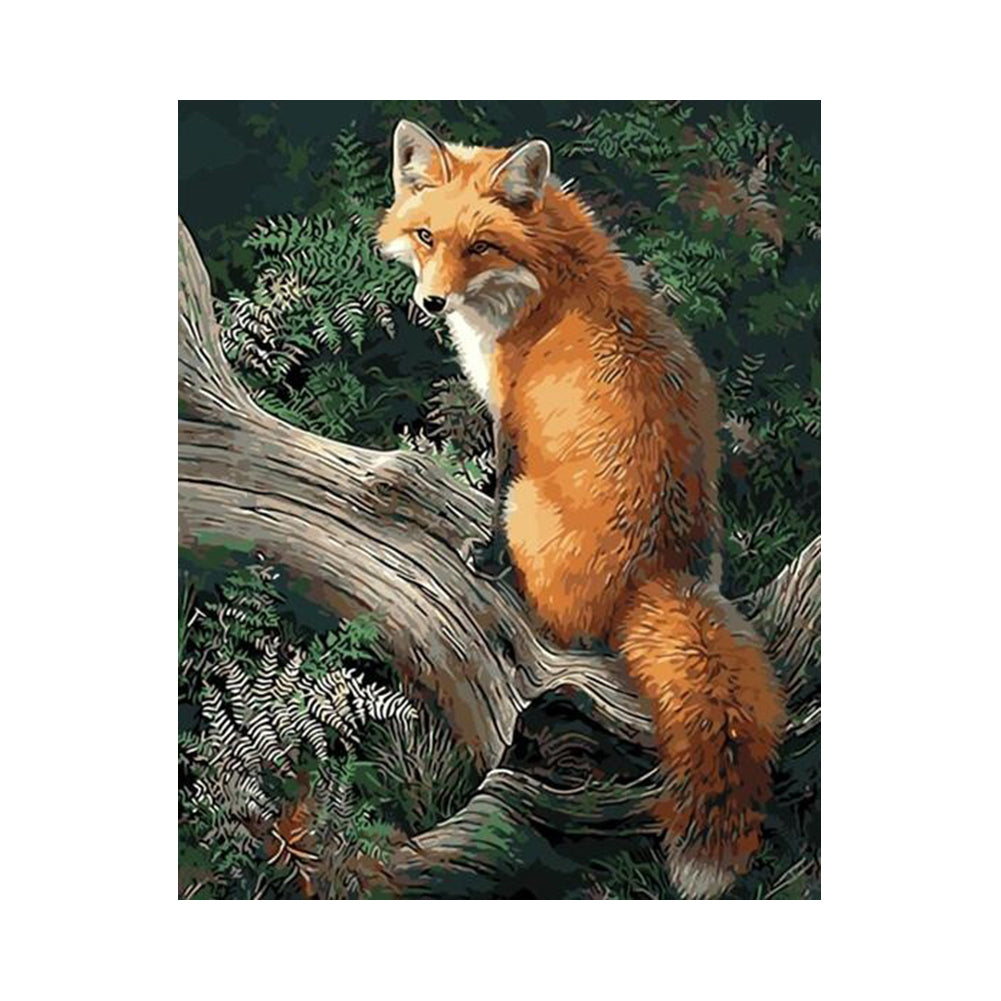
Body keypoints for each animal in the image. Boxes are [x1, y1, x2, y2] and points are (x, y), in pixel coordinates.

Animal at [377, 120, 786, 898]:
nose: (431, 304)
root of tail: (658, 576)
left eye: (480, 245)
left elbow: (494, 489)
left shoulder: (509, 416)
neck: (550, 277)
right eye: (425, 236)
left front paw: (484, 556)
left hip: (533, 509)